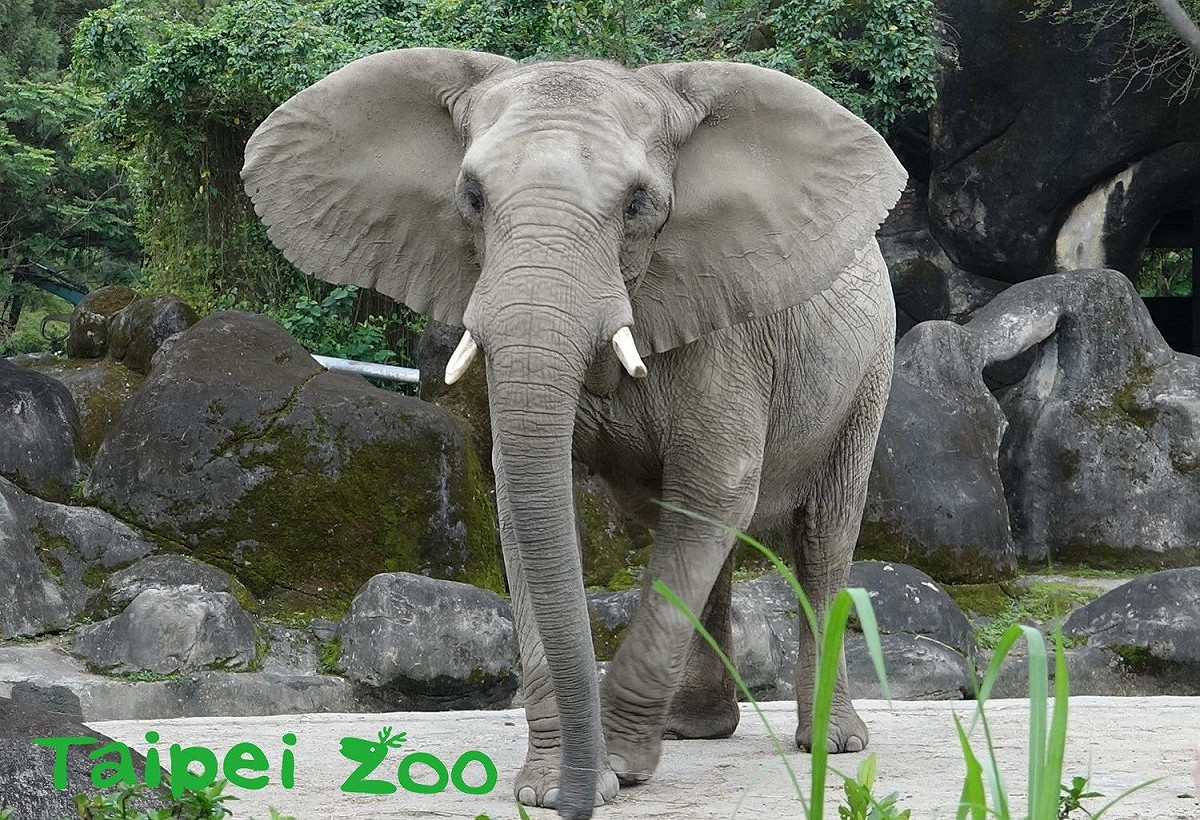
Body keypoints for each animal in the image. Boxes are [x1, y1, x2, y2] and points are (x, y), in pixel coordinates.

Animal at [242, 48, 906, 820]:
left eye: (639, 205)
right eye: (471, 197)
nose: (577, 801)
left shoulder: (729, 335)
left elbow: (716, 491)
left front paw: (614, 768)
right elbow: (527, 500)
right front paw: (550, 785)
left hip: (870, 371)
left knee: (821, 539)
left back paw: (832, 742)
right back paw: (695, 729)